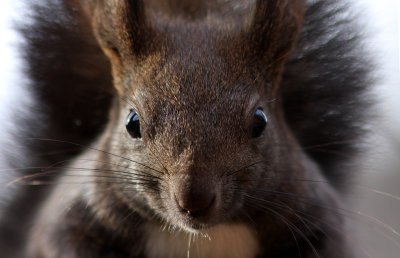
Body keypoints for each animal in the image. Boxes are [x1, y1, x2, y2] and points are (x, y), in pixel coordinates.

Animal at [0, 0, 372, 258]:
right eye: (132, 123)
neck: (201, 237)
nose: (194, 199)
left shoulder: (320, 223)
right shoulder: (70, 219)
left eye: (260, 122)